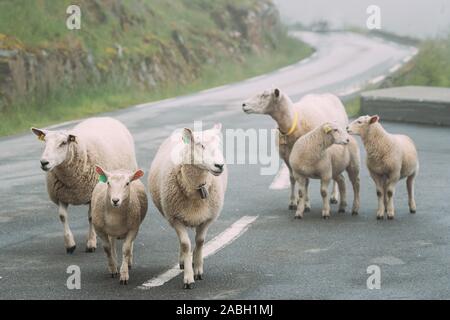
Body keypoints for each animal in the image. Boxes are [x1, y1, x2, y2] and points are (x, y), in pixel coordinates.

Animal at [30, 116, 137, 254]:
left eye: (63, 143)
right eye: (45, 142)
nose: (44, 162)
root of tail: (103, 117)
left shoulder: (92, 193)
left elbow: (91, 217)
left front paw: (91, 243)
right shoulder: (61, 195)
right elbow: (62, 216)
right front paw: (70, 244)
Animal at [148, 124, 227, 288]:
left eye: (219, 145)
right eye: (200, 145)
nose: (220, 165)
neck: (196, 187)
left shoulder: (207, 218)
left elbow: (200, 241)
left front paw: (198, 269)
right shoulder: (175, 217)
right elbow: (185, 244)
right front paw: (188, 277)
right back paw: (183, 261)